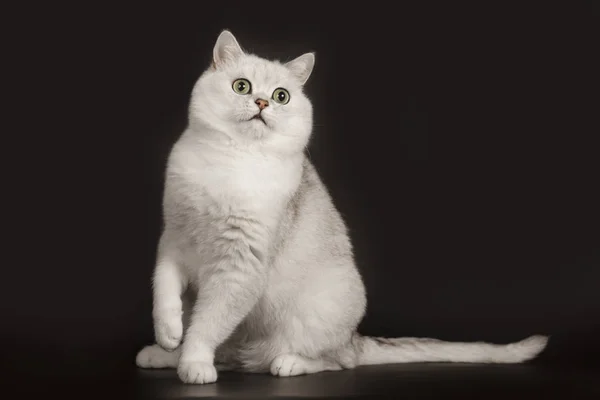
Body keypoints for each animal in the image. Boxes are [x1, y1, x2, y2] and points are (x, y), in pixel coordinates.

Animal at [136, 29, 548, 382]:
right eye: (242, 86)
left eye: (282, 96)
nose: (262, 102)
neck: (229, 161)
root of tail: (355, 337)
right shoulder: (174, 238)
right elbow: (164, 290)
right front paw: (169, 333)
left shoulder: (239, 267)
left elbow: (207, 324)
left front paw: (193, 362)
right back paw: (160, 354)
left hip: (320, 312)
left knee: (335, 361)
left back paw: (288, 363)